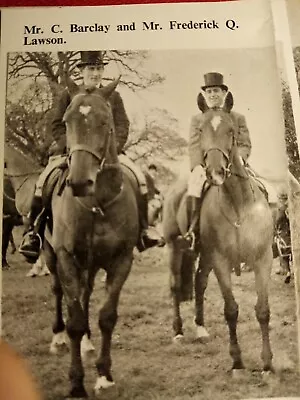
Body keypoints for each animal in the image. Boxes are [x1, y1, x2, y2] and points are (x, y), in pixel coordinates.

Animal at [164, 93, 274, 376]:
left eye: (231, 130)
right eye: (201, 130)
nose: (214, 173)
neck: (237, 203)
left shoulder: (262, 260)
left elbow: (262, 310)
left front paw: (267, 363)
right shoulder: (222, 261)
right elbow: (231, 310)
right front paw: (237, 362)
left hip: (205, 256)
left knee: (199, 282)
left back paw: (200, 328)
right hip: (176, 248)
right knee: (175, 285)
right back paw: (178, 331)